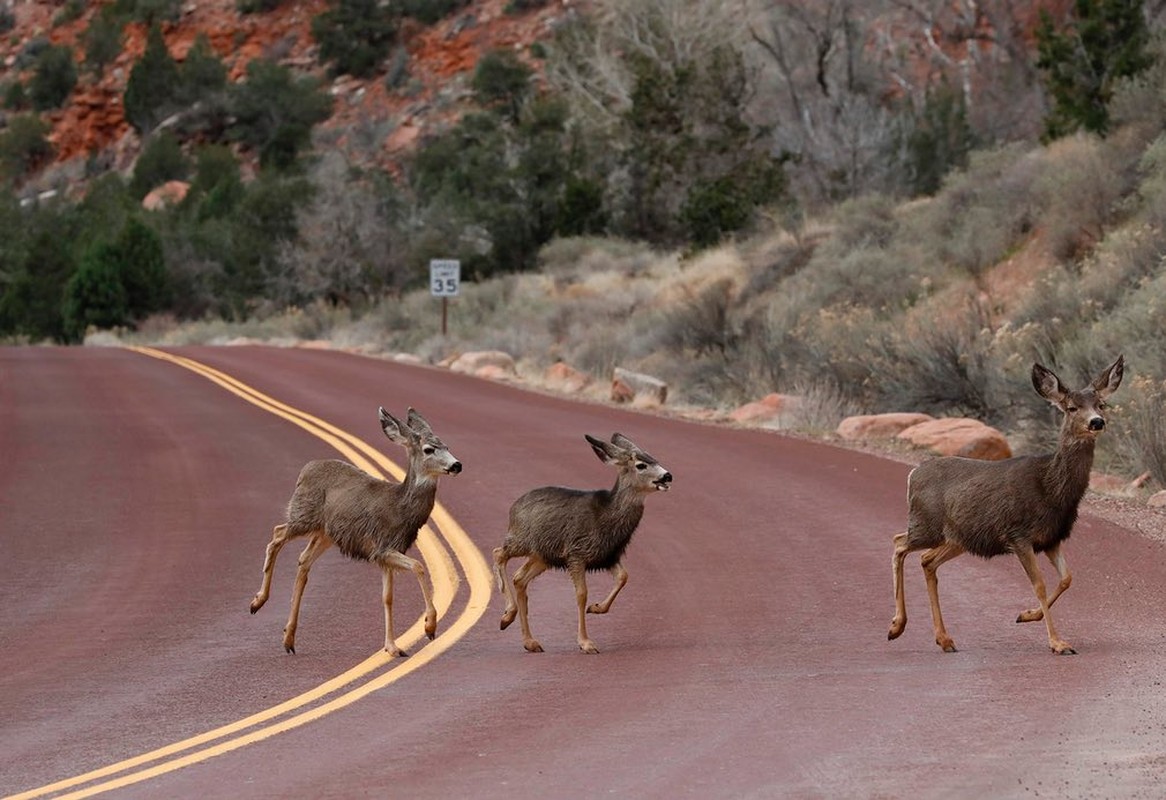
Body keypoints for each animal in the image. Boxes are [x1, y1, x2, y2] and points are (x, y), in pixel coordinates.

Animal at [249, 408, 459, 657]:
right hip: (303, 514)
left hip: (326, 533)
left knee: (303, 559)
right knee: (277, 534)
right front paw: (429, 627)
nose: (457, 465)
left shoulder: (386, 553)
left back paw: (289, 638)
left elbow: (387, 597)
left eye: (447, 446)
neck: (400, 509)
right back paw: (258, 602)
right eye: (429, 449)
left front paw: (392, 647)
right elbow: (418, 567)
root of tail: (305, 469)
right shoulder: (382, 547)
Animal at [494, 436, 676, 653]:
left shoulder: (607, 555)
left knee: (519, 578)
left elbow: (623, 577)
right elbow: (582, 594)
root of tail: (513, 508)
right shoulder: (576, 552)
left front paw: (596, 608)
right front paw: (586, 642)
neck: (607, 518)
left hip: (543, 556)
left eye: (654, 458)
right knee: (498, 553)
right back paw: (507, 615)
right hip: (521, 539)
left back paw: (529, 640)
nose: (667, 476)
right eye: (641, 465)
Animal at [886, 356, 1124, 657]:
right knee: (898, 543)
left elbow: (1067, 578)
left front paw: (1027, 615)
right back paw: (896, 626)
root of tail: (913, 473)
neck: (1051, 488)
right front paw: (1058, 643)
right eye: (1071, 407)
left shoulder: (1051, 538)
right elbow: (1040, 584)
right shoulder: (1018, 534)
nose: (1097, 422)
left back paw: (944, 639)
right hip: (926, 524)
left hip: (958, 539)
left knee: (926, 560)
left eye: (1101, 404)